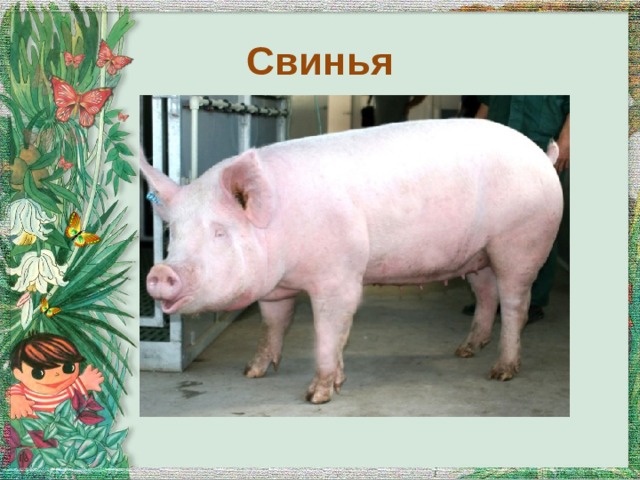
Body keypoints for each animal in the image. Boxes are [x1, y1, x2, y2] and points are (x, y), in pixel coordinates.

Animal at [141, 118, 563, 404]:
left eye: (219, 232)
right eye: (173, 233)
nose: (160, 272)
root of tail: (542, 157)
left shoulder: (339, 276)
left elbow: (329, 331)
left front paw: (318, 395)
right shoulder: (276, 289)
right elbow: (273, 325)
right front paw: (252, 372)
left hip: (519, 242)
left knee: (515, 303)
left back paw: (501, 372)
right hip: (479, 255)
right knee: (487, 294)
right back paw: (465, 350)